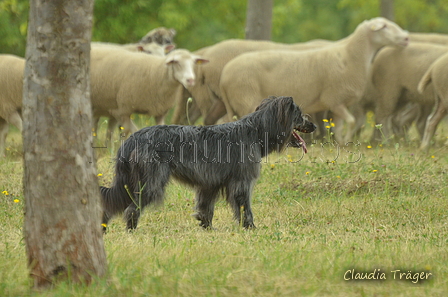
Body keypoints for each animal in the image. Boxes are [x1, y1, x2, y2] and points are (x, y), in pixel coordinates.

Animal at [101, 96, 316, 230]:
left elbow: (206, 209)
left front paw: (208, 229)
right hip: (151, 183)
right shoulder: (241, 182)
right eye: (299, 114)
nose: (313, 125)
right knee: (131, 209)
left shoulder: (209, 184)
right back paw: (131, 230)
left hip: (131, 182)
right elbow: (245, 207)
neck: (254, 131)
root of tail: (132, 139)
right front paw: (251, 228)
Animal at [219, 17, 408, 143]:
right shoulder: (334, 99)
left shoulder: (337, 103)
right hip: (246, 98)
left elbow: (340, 125)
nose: (406, 37)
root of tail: (224, 75)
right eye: (384, 27)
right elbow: (352, 121)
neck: (350, 55)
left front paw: (340, 142)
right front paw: (346, 140)